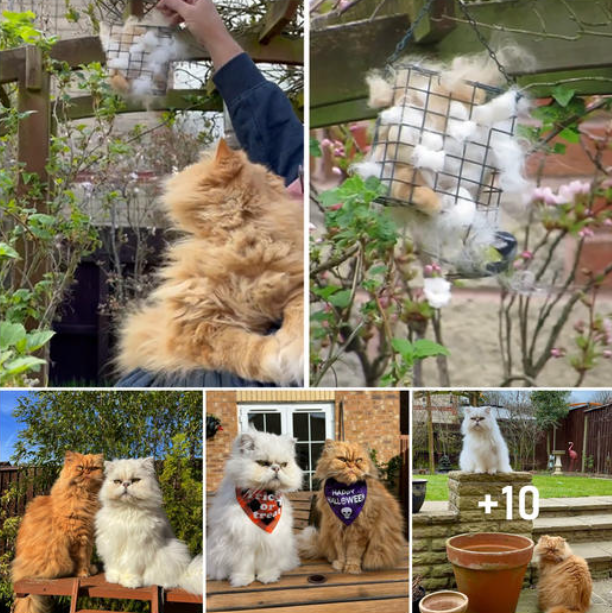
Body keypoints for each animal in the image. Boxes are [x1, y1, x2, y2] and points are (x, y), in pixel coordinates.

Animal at [11, 450, 104, 612]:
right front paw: (83, 573)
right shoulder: (79, 537)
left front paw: (89, 570)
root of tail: (20, 573)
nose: (87, 472)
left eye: (93, 468)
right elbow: (82, 559)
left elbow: (87, 557)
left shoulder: (88, 536)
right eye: (80, 468)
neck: (85, 497)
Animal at [94, 460, 202, 592]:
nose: (126, 484)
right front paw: (113, 578)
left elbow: (131, 568)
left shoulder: (137, 549)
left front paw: (130, 582)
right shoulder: (111, 544)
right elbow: (114, 565)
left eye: (135, 480)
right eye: (117, 481)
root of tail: (184, 572)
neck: (127, 509)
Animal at [116, 141, 304, 384]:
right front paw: (275, 357)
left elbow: (298, 315)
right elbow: (242, 349)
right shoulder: (197, 328)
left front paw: (293, 349)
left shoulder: (295, 284)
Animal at [208, 428, 304, 584]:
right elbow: (243, 566)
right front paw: (242, 580)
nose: (276, 468)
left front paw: (268, 577)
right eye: (263, 463)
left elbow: (267, 565)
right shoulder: (242, 542)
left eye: (284, 465)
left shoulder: (270, 541)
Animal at [298, 440, 406, 572]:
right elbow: (340, 551)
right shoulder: (336, 528)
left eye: (358, 460)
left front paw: (352, 567)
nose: (351, 465)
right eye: (342, 459)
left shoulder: (360, 530)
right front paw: (340, 564)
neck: (346, 490)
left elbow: (354, 552)